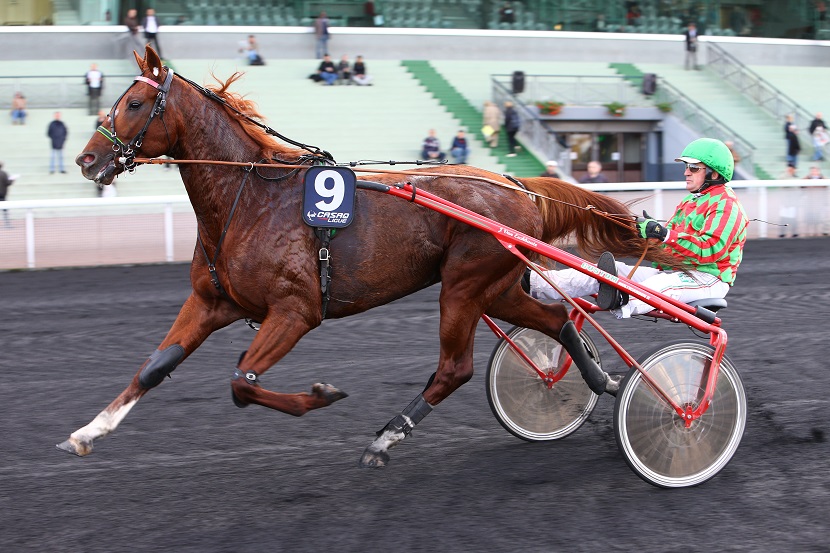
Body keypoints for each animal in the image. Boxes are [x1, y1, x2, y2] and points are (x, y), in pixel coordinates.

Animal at [65, 47, 680, 466]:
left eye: (135, 103)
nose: (86, 159)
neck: (251, 200)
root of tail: (515, 183)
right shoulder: (211, 300)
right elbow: (155, 366)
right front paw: (89, 432)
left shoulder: (295, 312)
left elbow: (242, 382)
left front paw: (321, 394)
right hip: (497, 287)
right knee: (557, 319)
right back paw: (602, 381)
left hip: (464, 287)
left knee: (455, 368)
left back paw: (388, 434)